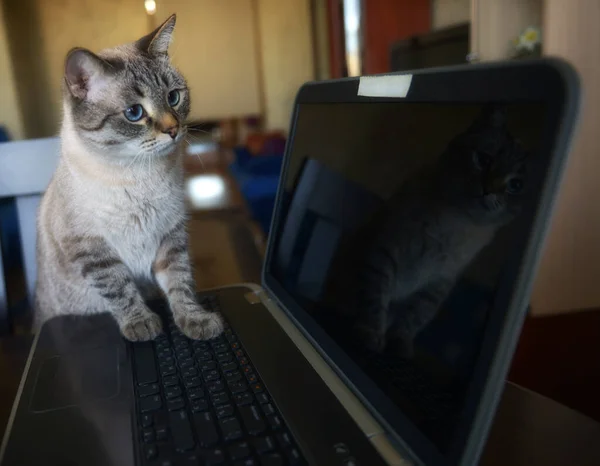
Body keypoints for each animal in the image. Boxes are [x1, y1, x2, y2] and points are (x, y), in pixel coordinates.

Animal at [34, 14, 225, 342]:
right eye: (134, 113)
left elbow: (180, 283)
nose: (173, 130)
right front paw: (142, 325)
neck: (139, 175)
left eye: (174, 97)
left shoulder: (170, 234)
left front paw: (195, 321)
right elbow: (120, 288)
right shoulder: (91, 248)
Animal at [326, 107, 528, 358]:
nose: (488, 190)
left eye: (515, 186)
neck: (457, 221)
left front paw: (400, 347)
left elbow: (414, 318)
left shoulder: (438, 282)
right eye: (484, 160)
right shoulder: (385, 252)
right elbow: (375, 301)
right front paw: (370, 335)